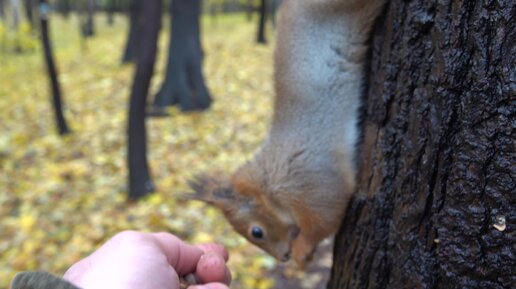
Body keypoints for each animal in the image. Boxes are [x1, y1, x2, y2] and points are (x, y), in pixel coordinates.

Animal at [188, 0, 382, 268]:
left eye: (256, 232)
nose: (283, 258)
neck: (272, 184)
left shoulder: (311, 183)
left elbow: (326, 217)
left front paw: (302, 251)